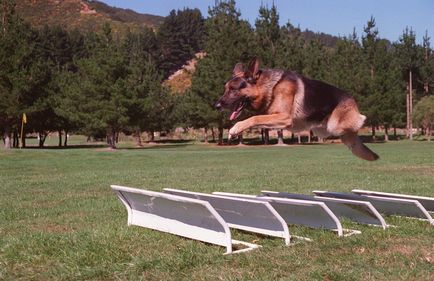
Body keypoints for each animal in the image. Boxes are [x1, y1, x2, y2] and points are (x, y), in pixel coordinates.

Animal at [215, 57, 378, 160]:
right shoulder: (275, 119)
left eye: (233, 90)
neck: (270, 88)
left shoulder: (284, 117)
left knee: (360, 120)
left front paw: (235, 129)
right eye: (225, 89)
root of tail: (351, 98)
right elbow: (259, 120)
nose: (216, 105)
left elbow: (255, 118)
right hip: (324, 130)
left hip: (335, 125)